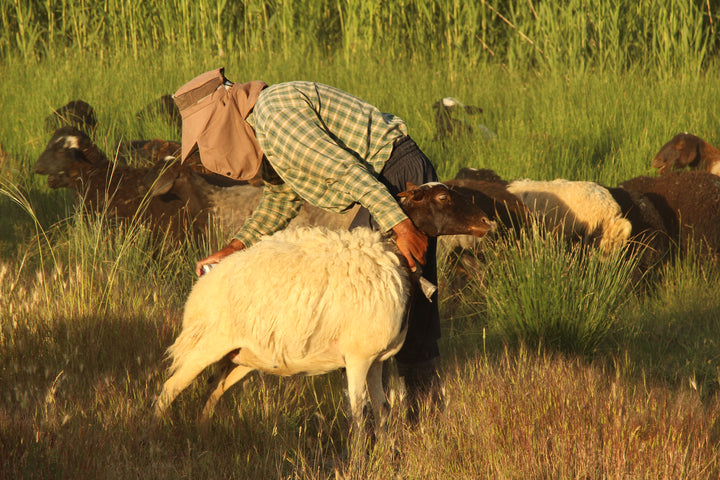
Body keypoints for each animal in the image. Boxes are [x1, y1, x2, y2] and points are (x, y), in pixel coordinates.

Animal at [154, 182, 492, 434]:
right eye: (443, 197)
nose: (487, 222)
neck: (395, 259)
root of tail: (206, 278)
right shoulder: (356, 358)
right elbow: (359, 415)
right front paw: (358, 461)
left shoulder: (377, 359)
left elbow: (382, 411)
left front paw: (385, 456)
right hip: (207, 343)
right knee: (169, 389)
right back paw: (155, 433)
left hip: (241, 356)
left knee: (212, 391)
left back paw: (202, 433)